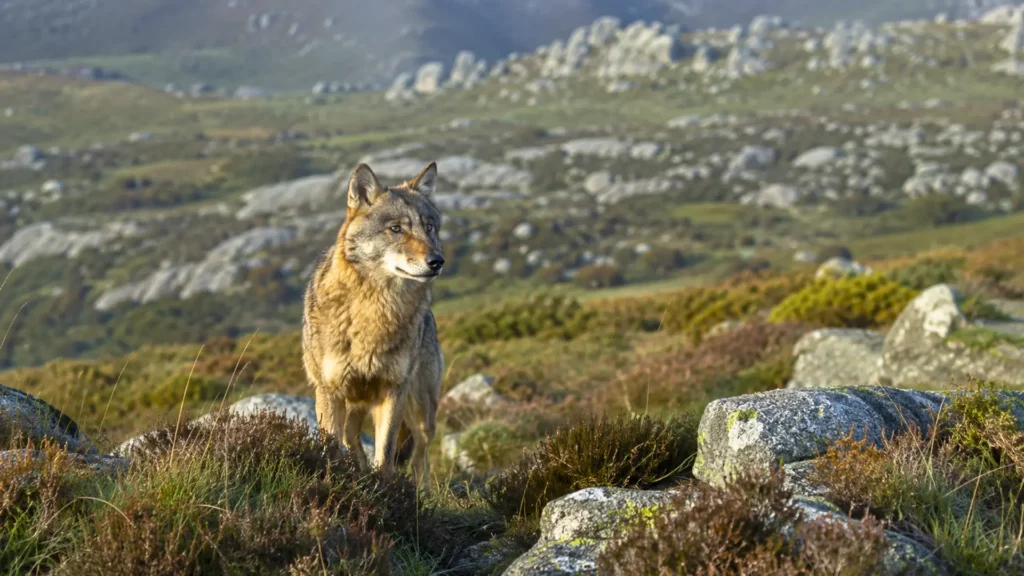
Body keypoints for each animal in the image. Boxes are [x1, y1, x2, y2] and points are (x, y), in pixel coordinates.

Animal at [302, 161, 444, 488]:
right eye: (396, 229)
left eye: (429, 227)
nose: (437, 261)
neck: (374, 311)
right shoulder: (329, 392)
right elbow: (331, 447)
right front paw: (334, 482)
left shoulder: (393, 391)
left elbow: (387, 452)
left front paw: (385, 489)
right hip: (353, 404)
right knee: (351, 438)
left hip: (422, 410)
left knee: (420, 454)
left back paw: (421, 489)